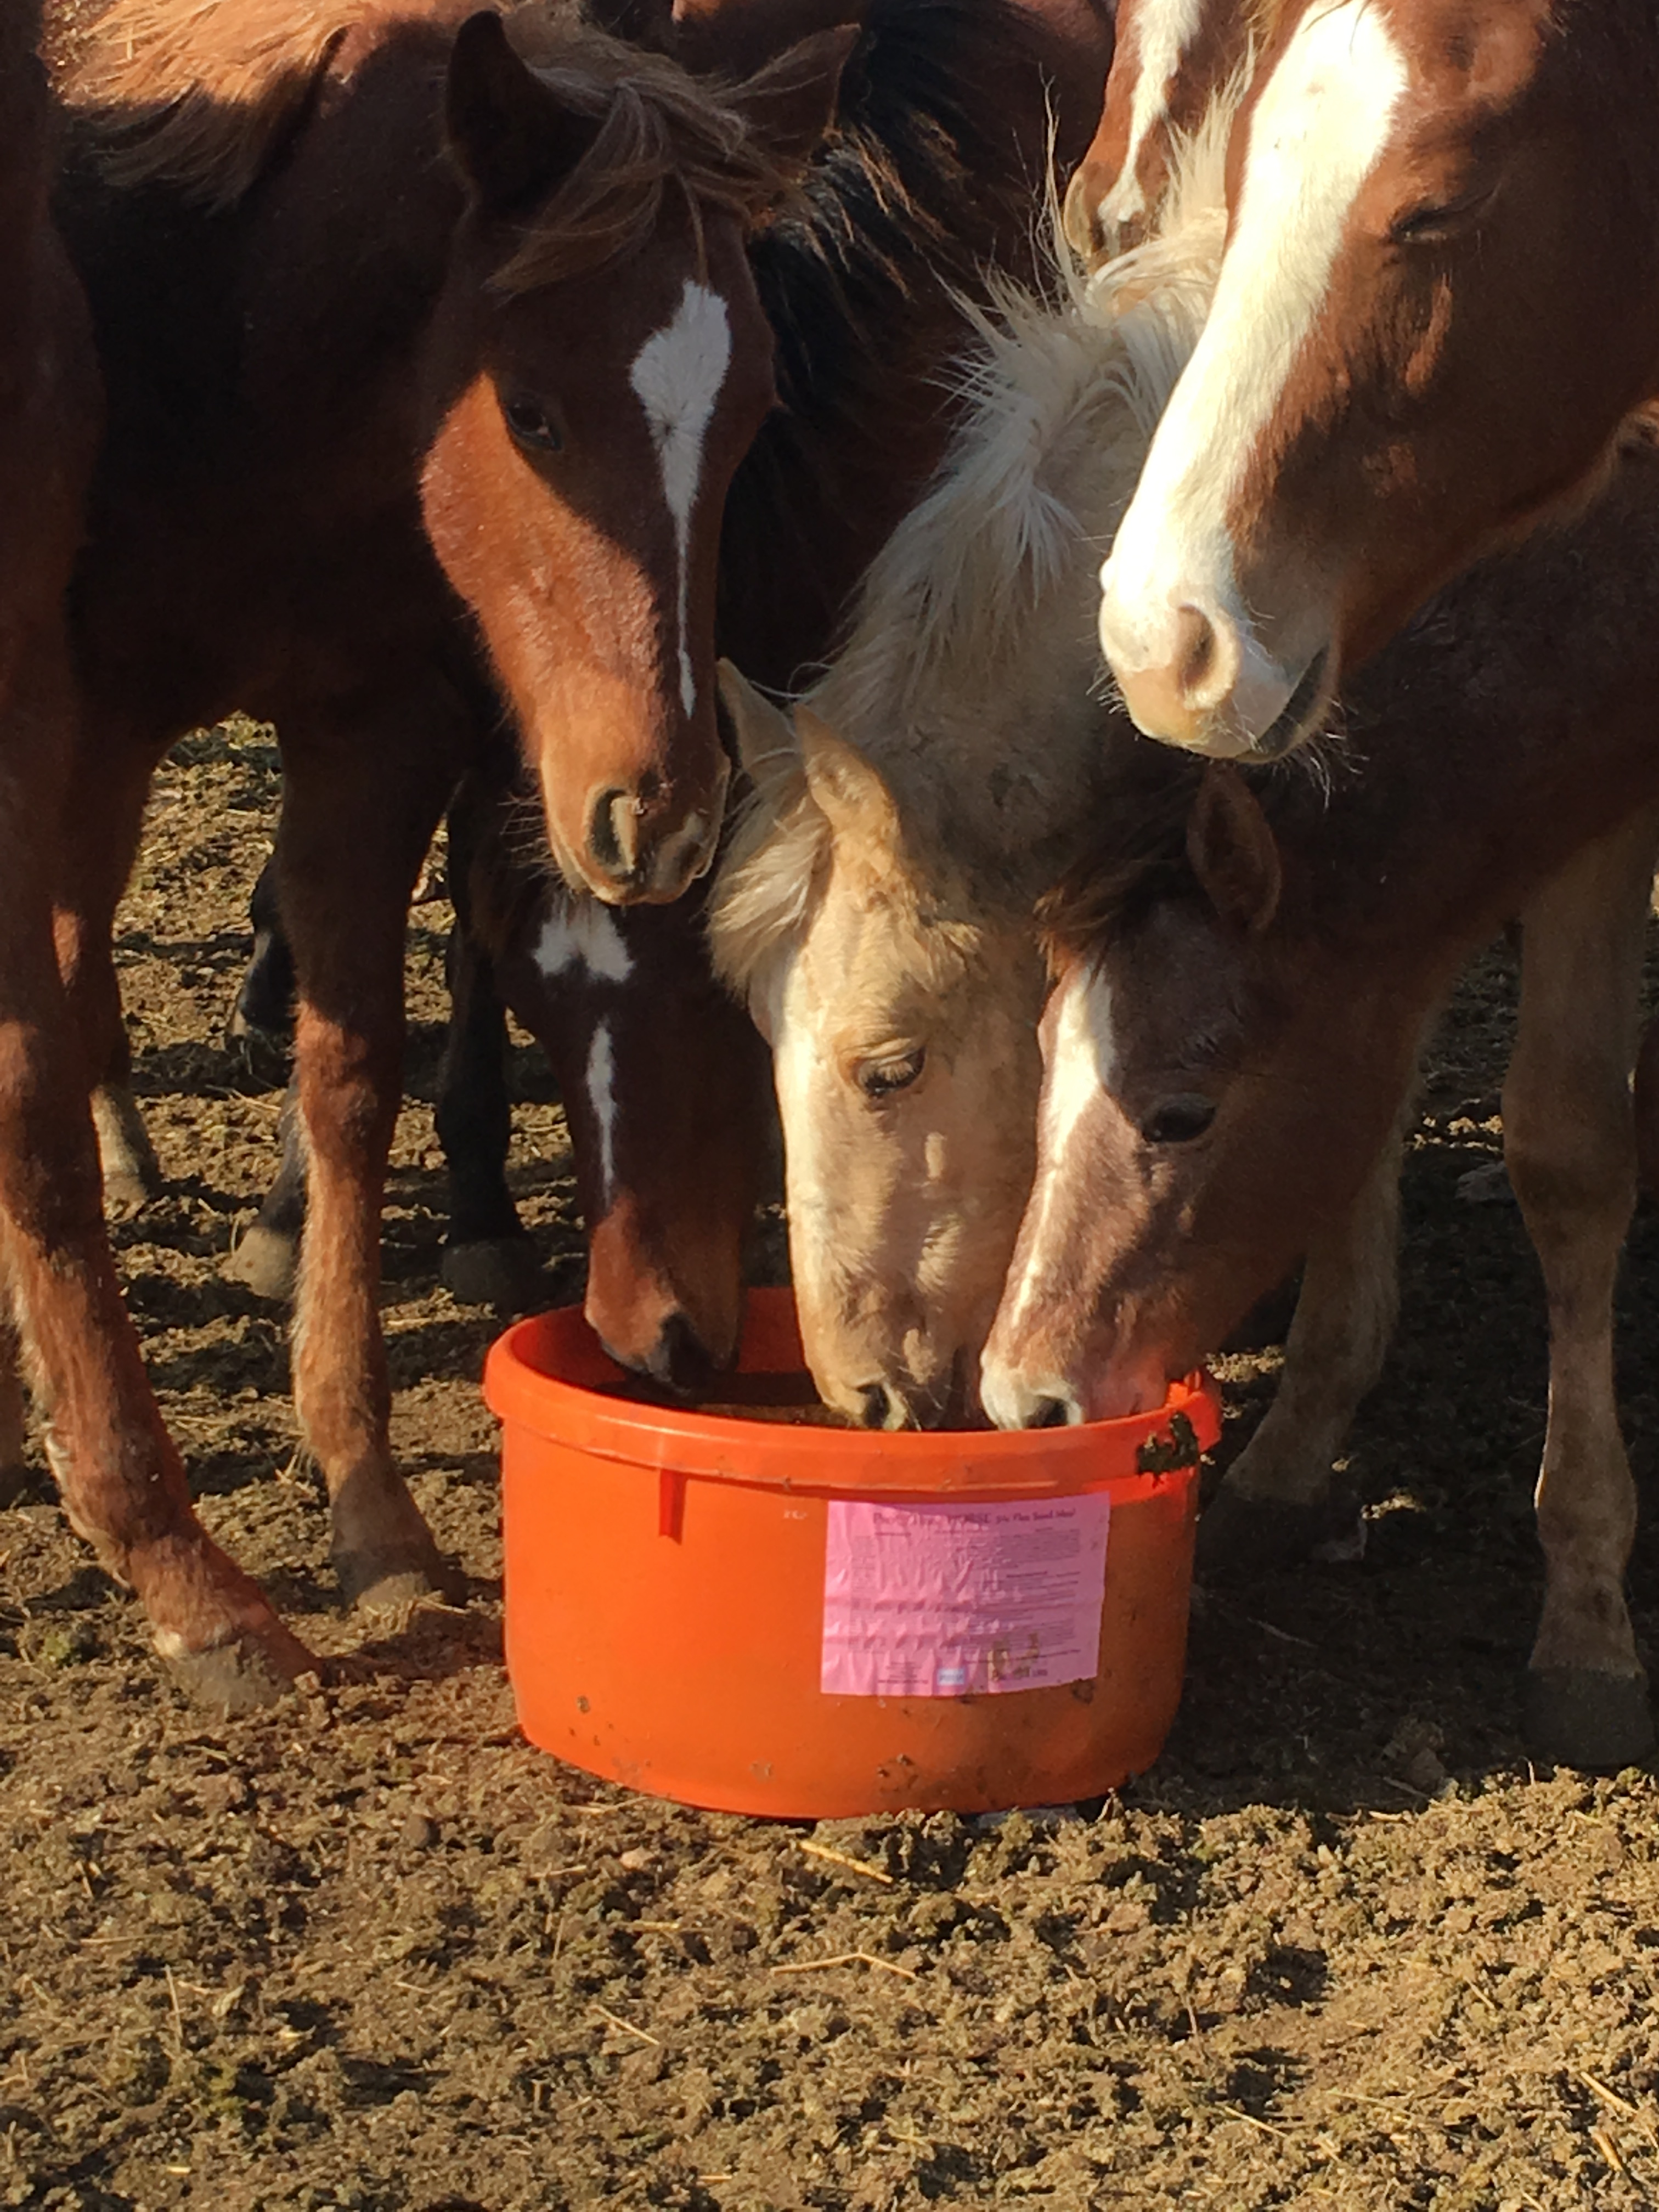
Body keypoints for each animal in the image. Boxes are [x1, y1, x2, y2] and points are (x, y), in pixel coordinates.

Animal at [33, 0, 849, 1694]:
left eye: (749, 417)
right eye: (528, 408)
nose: (653, 807)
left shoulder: (376, 731)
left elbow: (351, 1080)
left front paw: (376, 1514)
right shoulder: (84, 734)